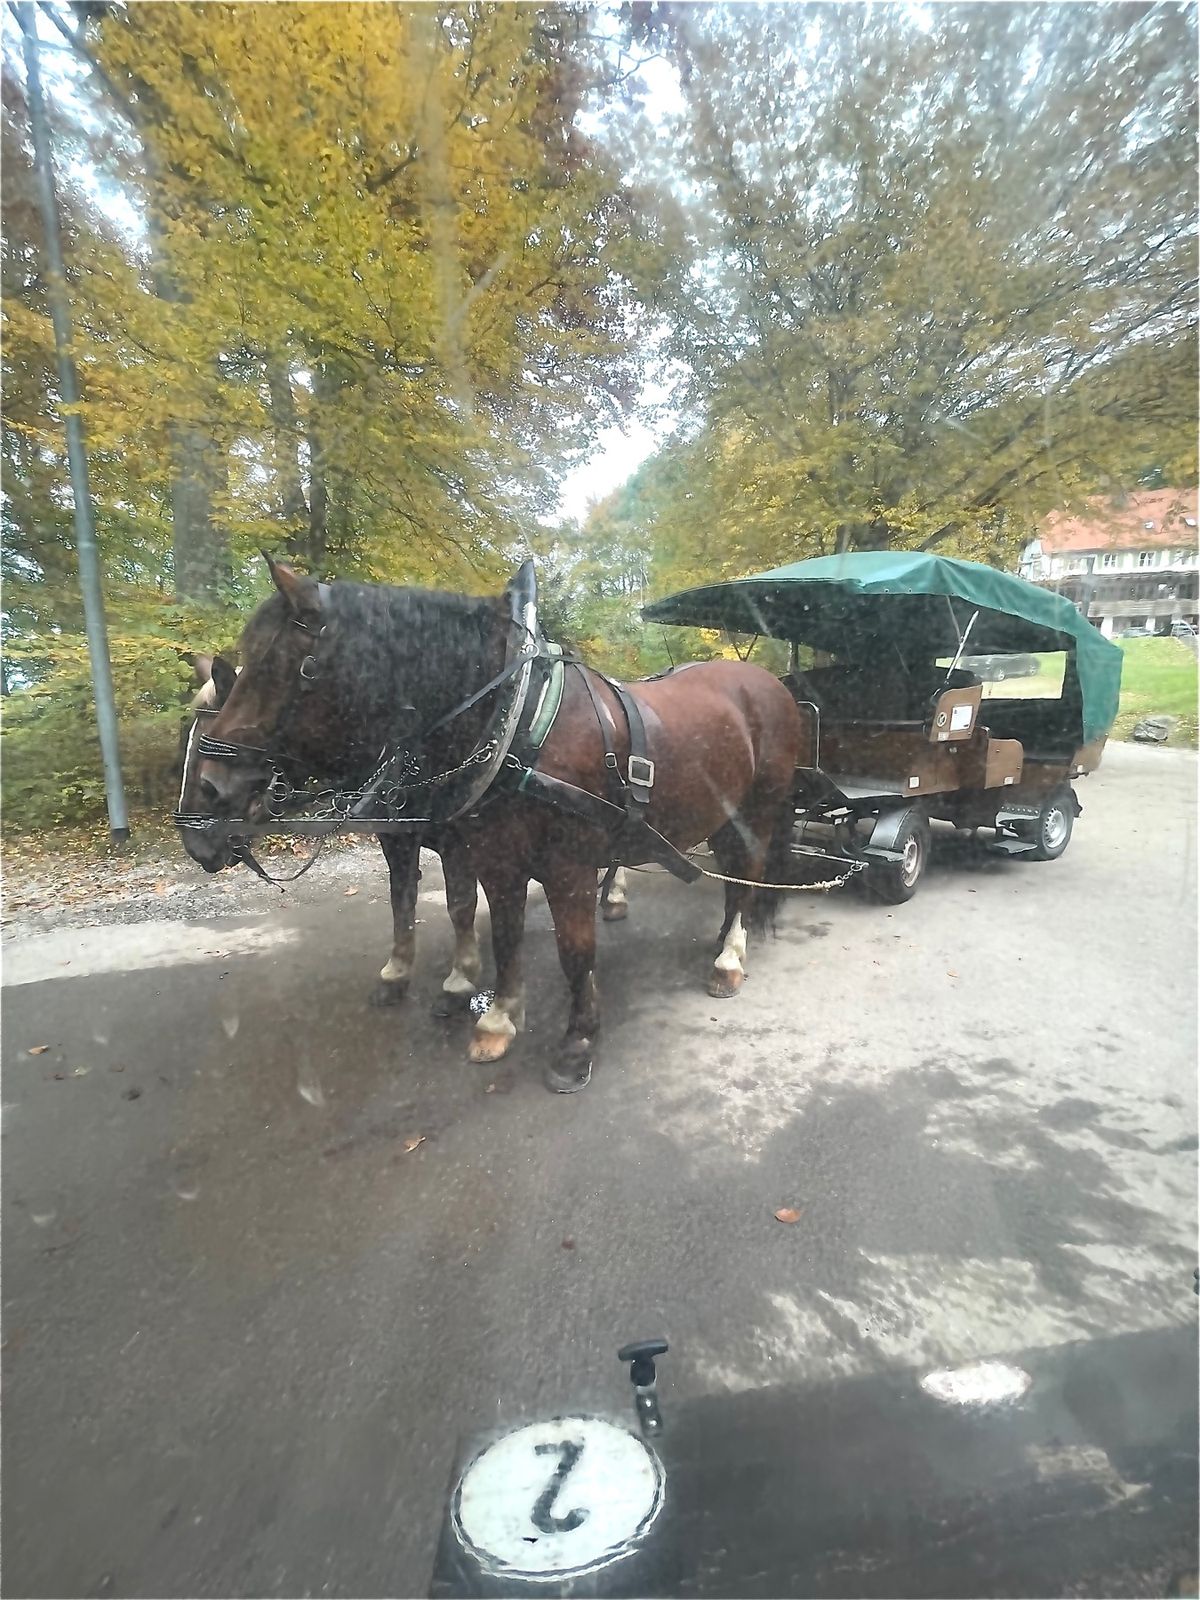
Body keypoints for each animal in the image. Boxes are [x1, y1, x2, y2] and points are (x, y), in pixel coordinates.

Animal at [177, 556, 806, 1092]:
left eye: (275, 666)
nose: (209, 796)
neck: (517, 719)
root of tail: (769, 684)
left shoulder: (567, 865)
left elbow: (572, 948)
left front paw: (577, 1042)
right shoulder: (492, 855)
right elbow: (495, 930)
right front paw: (497, 1018)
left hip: (759, 809)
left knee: (749, 875)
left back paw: (729, 958)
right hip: (722, 815)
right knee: (733, 879)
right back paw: (719, 938)